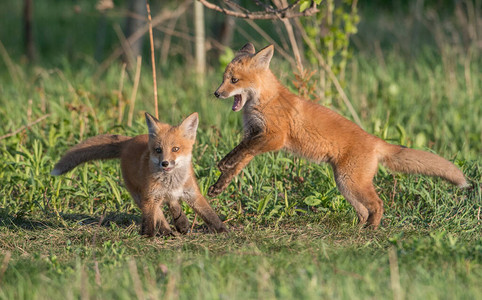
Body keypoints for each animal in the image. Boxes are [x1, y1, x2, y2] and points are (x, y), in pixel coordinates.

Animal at [51, 112, 229, 237]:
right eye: (158, 150)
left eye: (175, 149)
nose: (165, 163)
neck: (171, 182)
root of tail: (129, 141)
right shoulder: (150, 196)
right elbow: (151, 218)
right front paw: (148, 236)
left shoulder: (192, 194)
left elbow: (209, 214)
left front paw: (223, 230)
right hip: (139, 194)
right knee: (159, 213)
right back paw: (168, 231)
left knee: (172, 203)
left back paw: (181, 224)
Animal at [209, 42, 468, 230]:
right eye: (223, 78)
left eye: (234, 80)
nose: (216, 93)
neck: (264, 102)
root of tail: (376, 140)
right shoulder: (254, 135)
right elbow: (238, 159)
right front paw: (220, 183)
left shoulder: (274, 138)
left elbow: (242, 152)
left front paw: (223, 166)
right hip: (346, 185)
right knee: (364, 210)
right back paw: (358, 228)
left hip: (351, 183)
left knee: (378, 204)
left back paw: (372, 230)